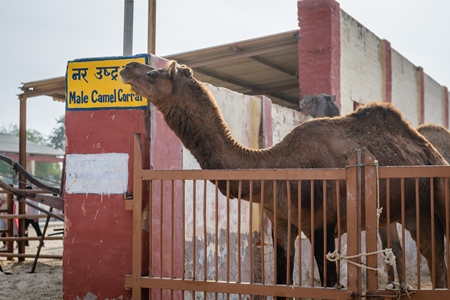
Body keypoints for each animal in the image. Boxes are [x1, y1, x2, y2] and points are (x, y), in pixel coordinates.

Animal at [120, 60, 450, 290]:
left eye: (154, 74)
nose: (127, 66)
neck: (276, 166)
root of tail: (431, 151)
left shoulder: (322, 224)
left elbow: (330, 285)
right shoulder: (280, 224)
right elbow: (281, 283)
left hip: (434, 200)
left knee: (435, 259)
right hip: (407, 211)